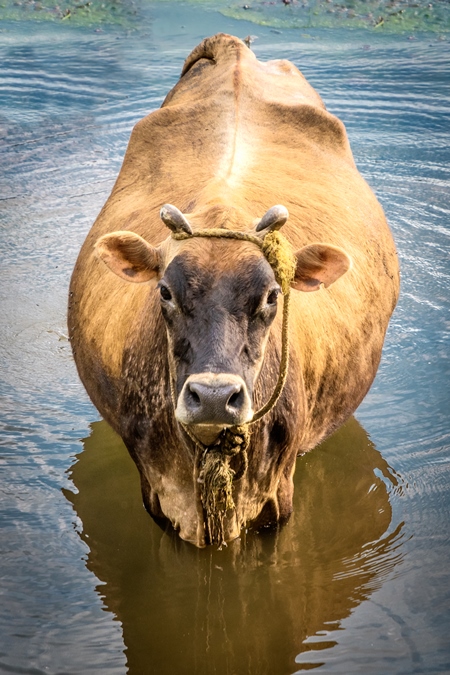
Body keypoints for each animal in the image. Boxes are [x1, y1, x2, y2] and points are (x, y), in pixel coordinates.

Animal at [68, 34, 400, 548]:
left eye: (272, 296)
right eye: (164, 292)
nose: (213, 396)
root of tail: (235, 51)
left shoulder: (277, 494)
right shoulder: (156, 492)